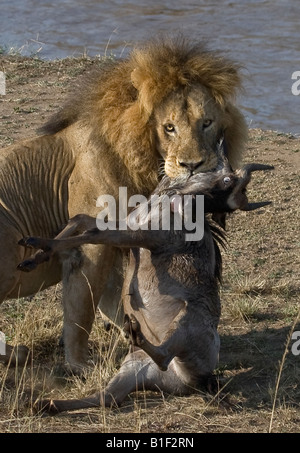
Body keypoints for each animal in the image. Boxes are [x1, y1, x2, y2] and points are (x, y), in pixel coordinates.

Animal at [0, 37, 247, 372]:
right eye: (169, 127)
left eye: (206, 123)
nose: (193, 165)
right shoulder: (92, 246)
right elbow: (82, 308)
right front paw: (79, 364)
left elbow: (117, 295)